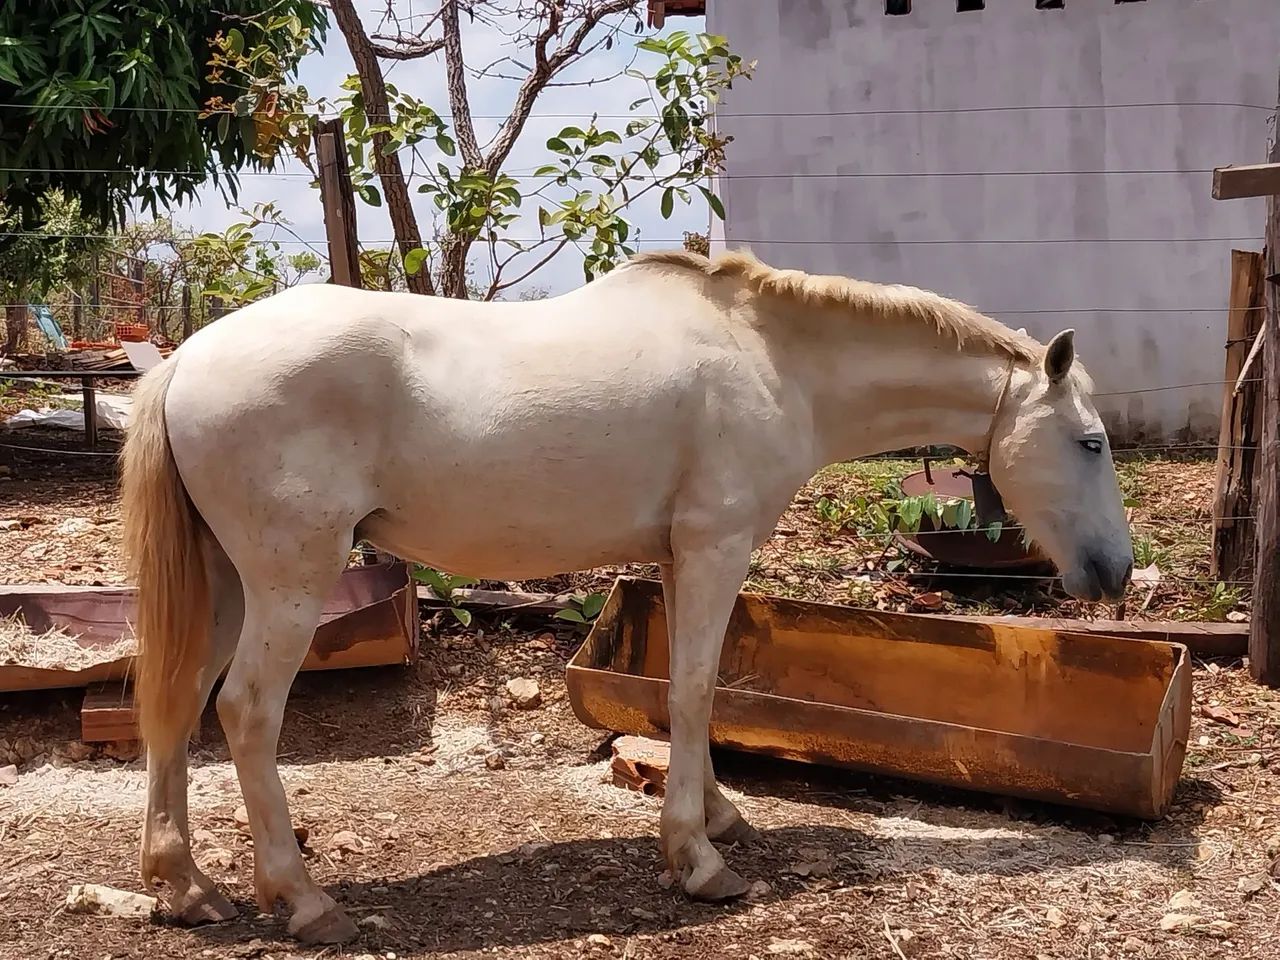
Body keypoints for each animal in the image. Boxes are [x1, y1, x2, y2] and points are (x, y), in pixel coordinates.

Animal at [120, 249, 1133, 943]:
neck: (772, 360)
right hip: (289, 583)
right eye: (1089, 443)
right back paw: (302, 900)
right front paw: (698, 859)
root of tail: (187, 360)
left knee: (174, 701)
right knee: (246, 712)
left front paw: (716, 816)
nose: (1115, 573)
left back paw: (185, 887)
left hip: (228, 586)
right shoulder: (716, 548)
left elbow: (693, 696)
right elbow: (694, 691)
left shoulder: (683, 559)